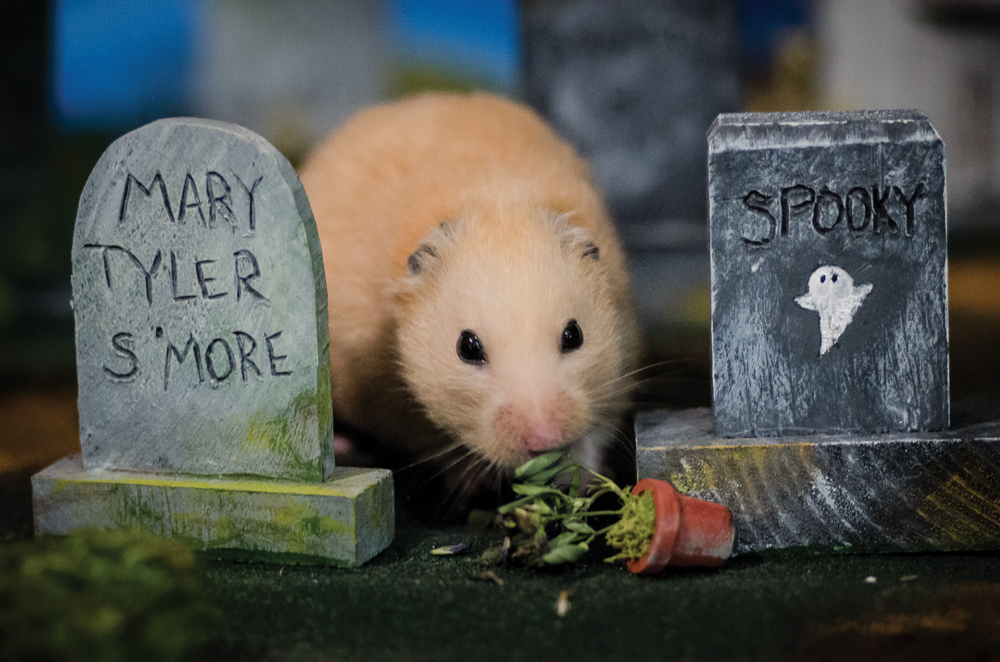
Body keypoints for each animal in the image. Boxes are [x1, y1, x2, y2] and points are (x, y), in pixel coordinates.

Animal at [298, 92, 641, 505]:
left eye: (574, 335)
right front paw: (476, 480)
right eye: (468, 347)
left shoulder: (622, 358)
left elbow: (597, 430)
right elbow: (431, 439)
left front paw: (581, 478)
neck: (494, 197)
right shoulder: (384, 396)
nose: (543, 439)